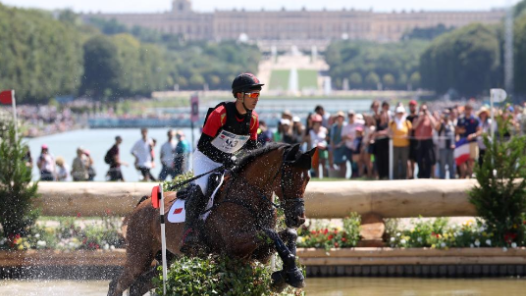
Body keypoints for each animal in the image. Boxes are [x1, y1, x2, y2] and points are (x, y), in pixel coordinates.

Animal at [109, 142, 316, 294]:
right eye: (289, 178)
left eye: (307, 179)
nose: (298, 218)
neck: (248, 197)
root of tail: (142, 204)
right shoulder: (238, 243)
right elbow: (271, 234)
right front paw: (293, 275)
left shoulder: (258, 254)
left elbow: (285, 235)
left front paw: (286, 275)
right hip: (140, 255)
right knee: (118, 283)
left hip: (168, 257)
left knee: (139, 285)